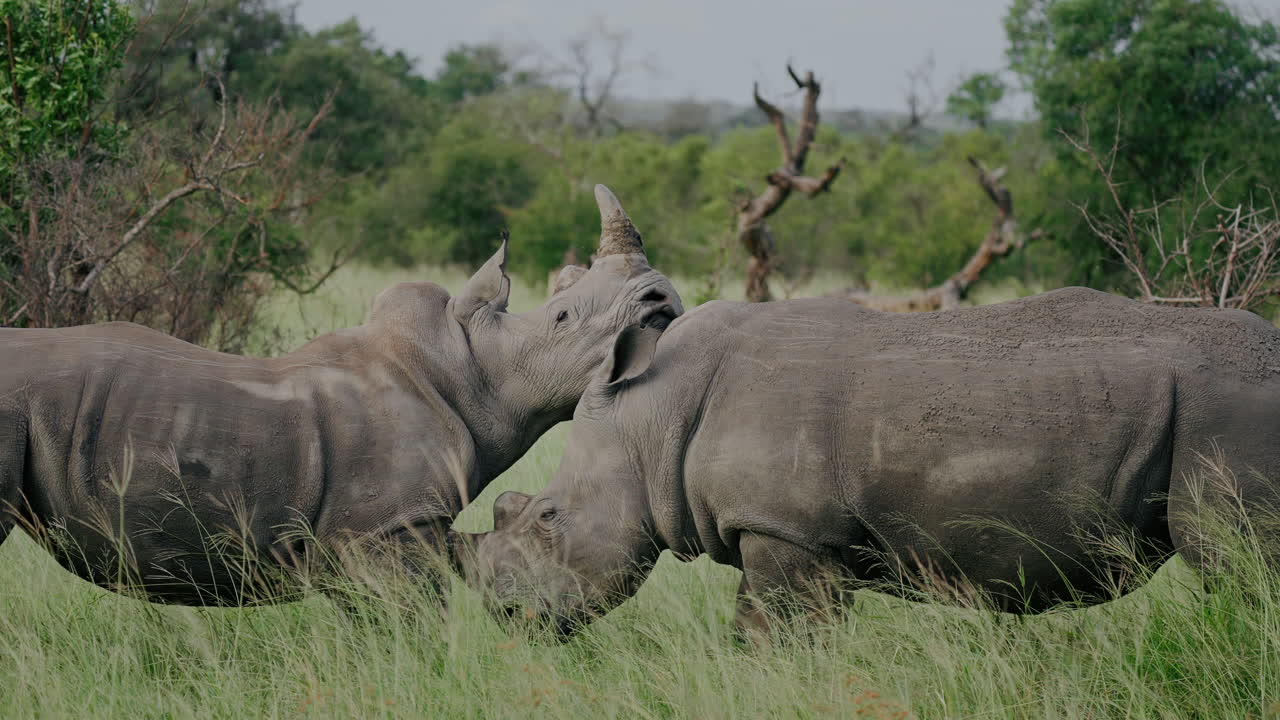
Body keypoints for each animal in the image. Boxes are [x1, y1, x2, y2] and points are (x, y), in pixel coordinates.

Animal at [473, 289, 1280, 637]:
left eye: (549, 517)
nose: (504, 614)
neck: (651, 417)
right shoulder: (796, 537)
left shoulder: (786, 531)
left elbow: (769, 640)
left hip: (1227, 410)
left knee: (1239, 566)